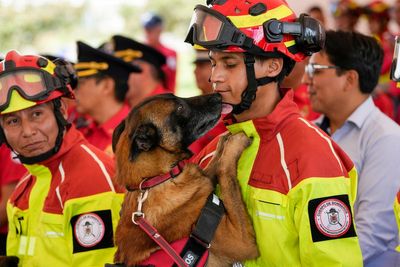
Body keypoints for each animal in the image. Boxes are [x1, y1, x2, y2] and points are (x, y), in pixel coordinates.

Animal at [111, 93, 258, 266]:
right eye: (180, 108)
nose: (218, 95)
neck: (157, 179)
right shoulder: (240, 240)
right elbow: (224, 168)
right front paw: (235, 142)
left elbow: (214, 163)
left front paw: (223, 141)